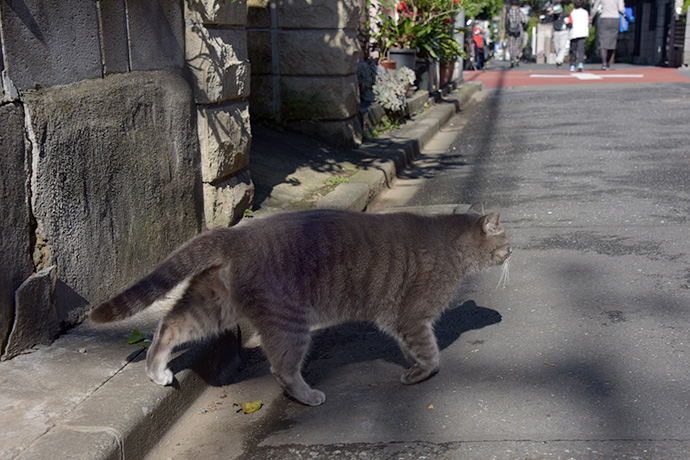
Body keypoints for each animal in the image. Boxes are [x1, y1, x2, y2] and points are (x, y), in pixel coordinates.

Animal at [90, 205, 510, 406]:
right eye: (506, 239)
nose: (513, 251)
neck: (450, 243)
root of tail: (235, 234)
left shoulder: (398, 321)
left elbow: (412, 347)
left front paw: (410, 363)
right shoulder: (412, 315)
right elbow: (430, 353)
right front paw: (418, 373)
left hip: (212, 305)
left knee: (169, 326)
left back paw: (156, 371)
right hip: (290, 323)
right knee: (282, 369)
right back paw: (308, 396)